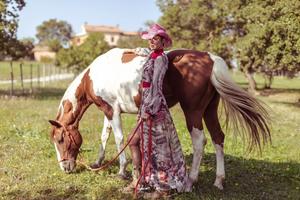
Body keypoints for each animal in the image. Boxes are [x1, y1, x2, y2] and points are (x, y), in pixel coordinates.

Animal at [48, 47, 270, 191]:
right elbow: (105, 135)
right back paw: (219, 180)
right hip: (209, 110)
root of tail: (211, 59)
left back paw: (191, 180)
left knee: (200, 141)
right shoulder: (107, 110)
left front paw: (121, 170)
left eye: (60, 139)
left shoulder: (112, 110)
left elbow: (118, 139)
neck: (94, 75)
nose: (64, 167)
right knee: (218, 138)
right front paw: (98, 162)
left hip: (193, 112)